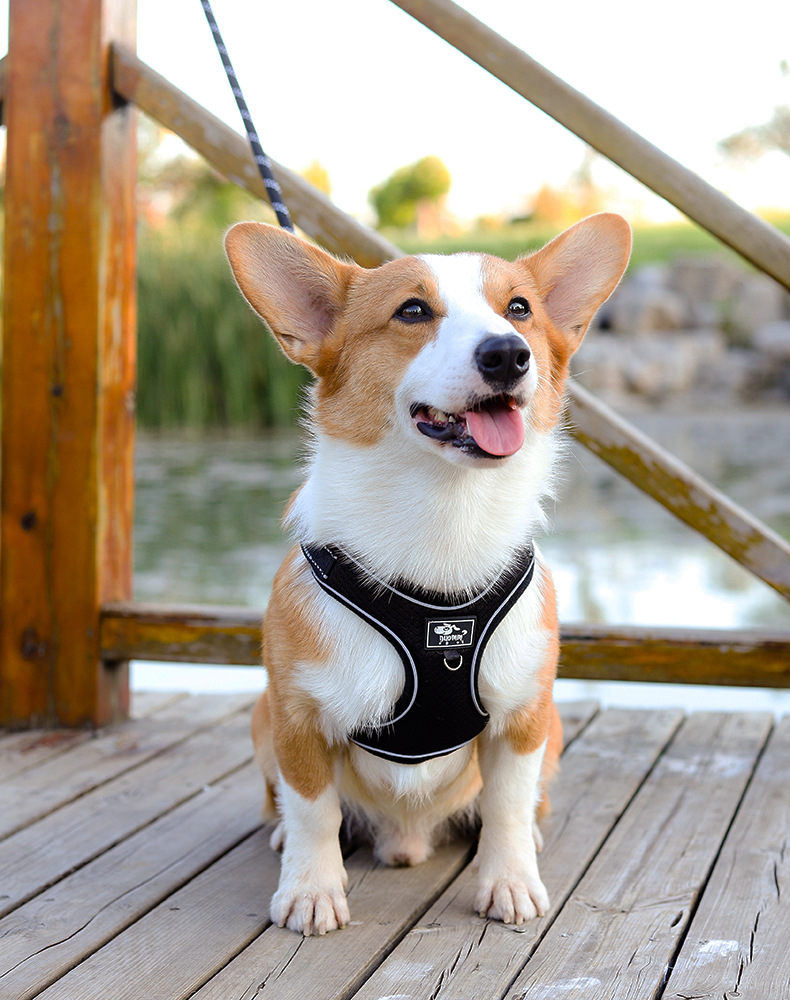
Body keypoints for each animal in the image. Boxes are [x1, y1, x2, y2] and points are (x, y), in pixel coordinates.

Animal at [226, 213, 636, 936]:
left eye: (519, 309)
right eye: (412, 311)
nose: (508, 354)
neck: (445, 517)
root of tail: (407, 839)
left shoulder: (524, 717)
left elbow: (506, 806)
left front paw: (509, 882)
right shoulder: (296, 719)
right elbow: (313, 811)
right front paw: (310, 890)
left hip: (554, 728)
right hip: (260, 717)